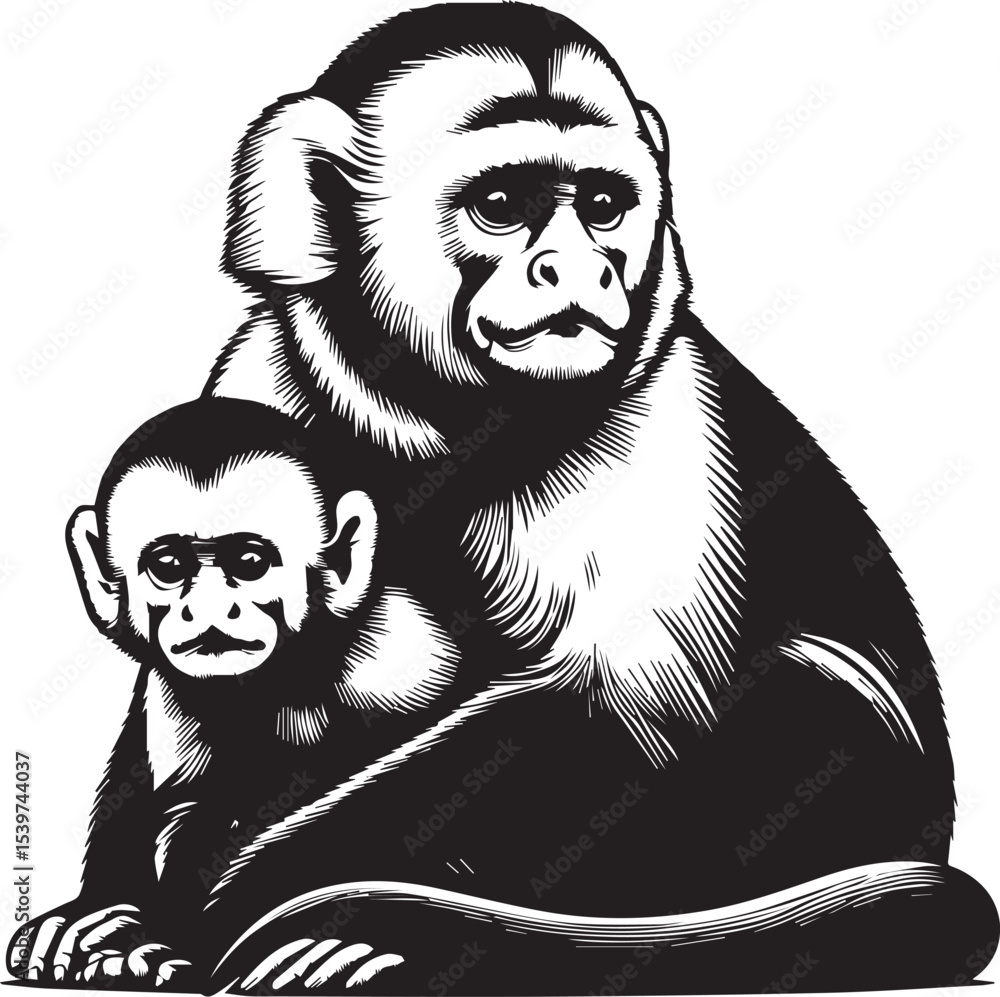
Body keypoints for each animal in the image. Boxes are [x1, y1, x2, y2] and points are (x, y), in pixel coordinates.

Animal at [195, 2, 997, 990]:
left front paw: (249, 889)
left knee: (801, 690)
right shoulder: (264, 378)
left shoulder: (661, 420)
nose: (577, 267)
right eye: (504, 206)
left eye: (603, 206)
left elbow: (626, 713)